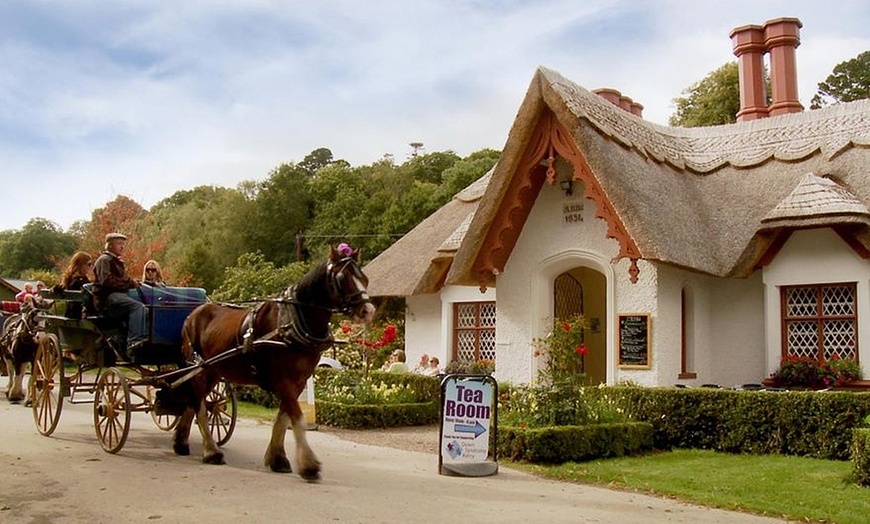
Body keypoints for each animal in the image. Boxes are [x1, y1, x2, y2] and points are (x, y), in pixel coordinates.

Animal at [175, 246, 376, 478]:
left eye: (364, 278)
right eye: (343, 278)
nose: (368, 310)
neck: (292, 322)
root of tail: (192, 315)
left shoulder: (298, 382)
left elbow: (283, 419)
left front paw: (277, 458)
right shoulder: (283, 381)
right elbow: (297, 418)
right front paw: (308, 464)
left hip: (214, 370)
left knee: (193, 403)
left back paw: (181, 442)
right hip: (199, 368)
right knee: (199, 405)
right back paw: (211, 451)